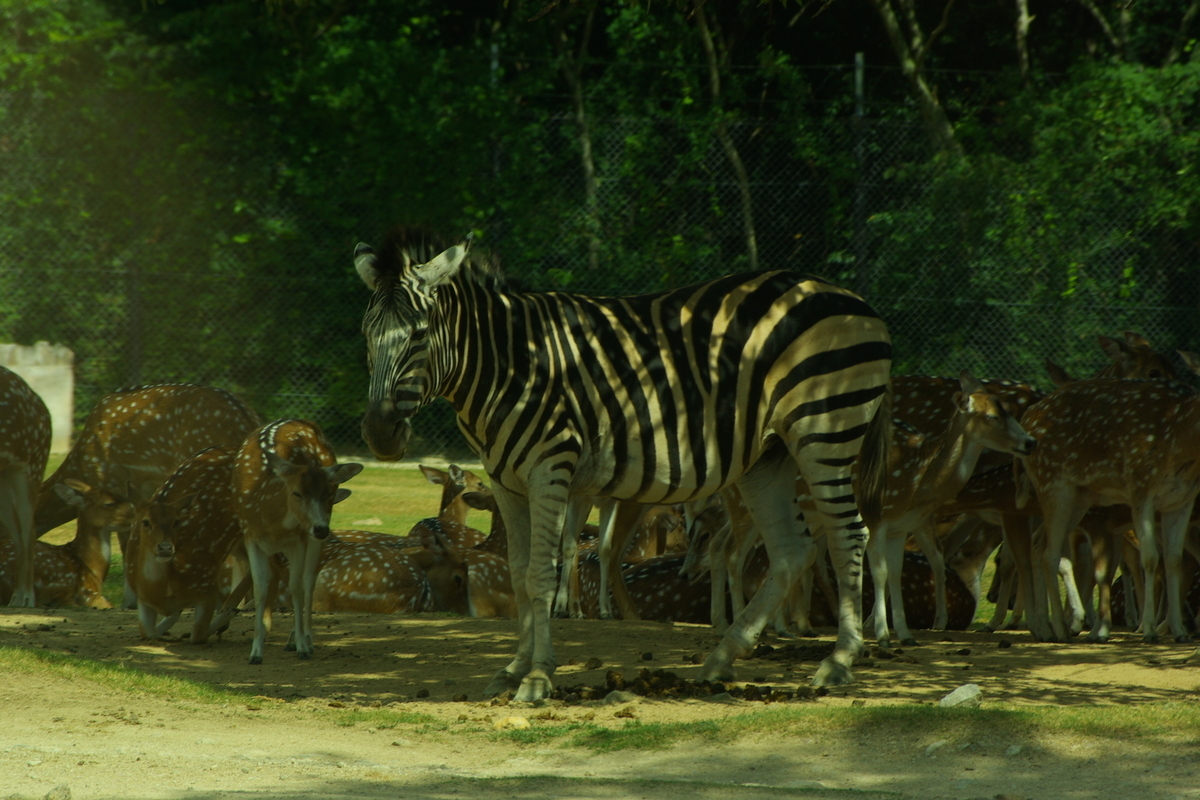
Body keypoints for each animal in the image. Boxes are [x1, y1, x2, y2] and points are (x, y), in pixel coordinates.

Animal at [234, 419, 362, 662]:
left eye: (329, 494)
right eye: (297, 493)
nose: (321, 529)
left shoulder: (299, 539)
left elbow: (296, 587)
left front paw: (302, 645)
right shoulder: (250, 536)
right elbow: (260, 588)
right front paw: (255, 652)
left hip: (312, 539)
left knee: (308, 581)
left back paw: (305, 640)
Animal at [352, 227, 892, 705]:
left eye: (420, 334)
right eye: (366, 335)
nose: (379, 435)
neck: (509, 366)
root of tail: (851, 298)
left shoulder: (550, 467)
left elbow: (540, 574)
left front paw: (538, 678)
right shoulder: (506, 482)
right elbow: (519, 573)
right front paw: (513, 669)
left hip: (824, 432)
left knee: (848, 537)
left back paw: (838, 661)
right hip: (768, 455)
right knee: (792, 550)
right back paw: (723, 656)